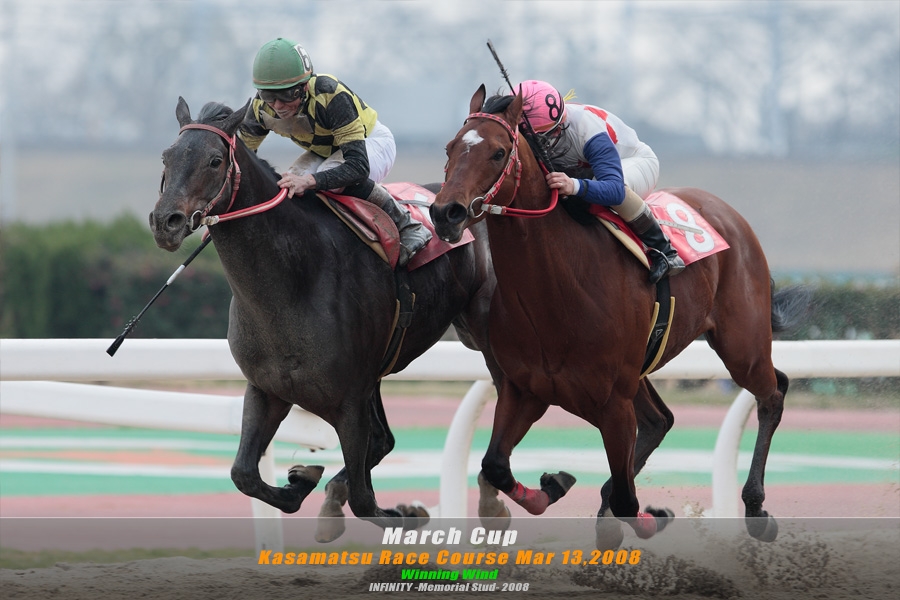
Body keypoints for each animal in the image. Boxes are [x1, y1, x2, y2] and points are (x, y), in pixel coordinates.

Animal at [149, 97, 504, 536]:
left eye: (215, 161)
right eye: (167, 157)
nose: (165, 222)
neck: (293, 280)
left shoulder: (350, 400)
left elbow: (365, 499)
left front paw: (405, 512)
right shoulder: (267, 389)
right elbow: (244, 474)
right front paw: (301, 479)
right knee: (383, 441)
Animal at [430, 85, 810, 547]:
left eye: (499, 152)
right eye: (450, 148)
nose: (445, 212)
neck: (555, 290)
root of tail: (726, 211)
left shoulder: (613, 402)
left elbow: (630, 502)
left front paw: (649, 515)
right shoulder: (526, 390)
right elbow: (495, 465)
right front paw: (551, 487)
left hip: (742, 345)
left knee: (772, 393)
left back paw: (755, 506)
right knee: (661, 420)